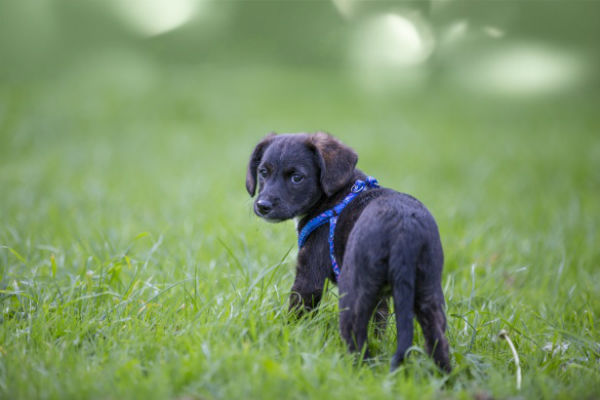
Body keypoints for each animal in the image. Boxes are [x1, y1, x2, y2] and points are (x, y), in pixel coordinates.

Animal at [245, 132, 450, 372]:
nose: (262, 205)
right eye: (263, 172)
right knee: (438, 340)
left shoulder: (309, 276)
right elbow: (379, 325)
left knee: (356, 340)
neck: (335, 195)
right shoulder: (380, 297)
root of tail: (403, 228)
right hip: (428, 292)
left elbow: (297, 312)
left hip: (352, 291)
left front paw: (290, 337)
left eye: (297, 177)